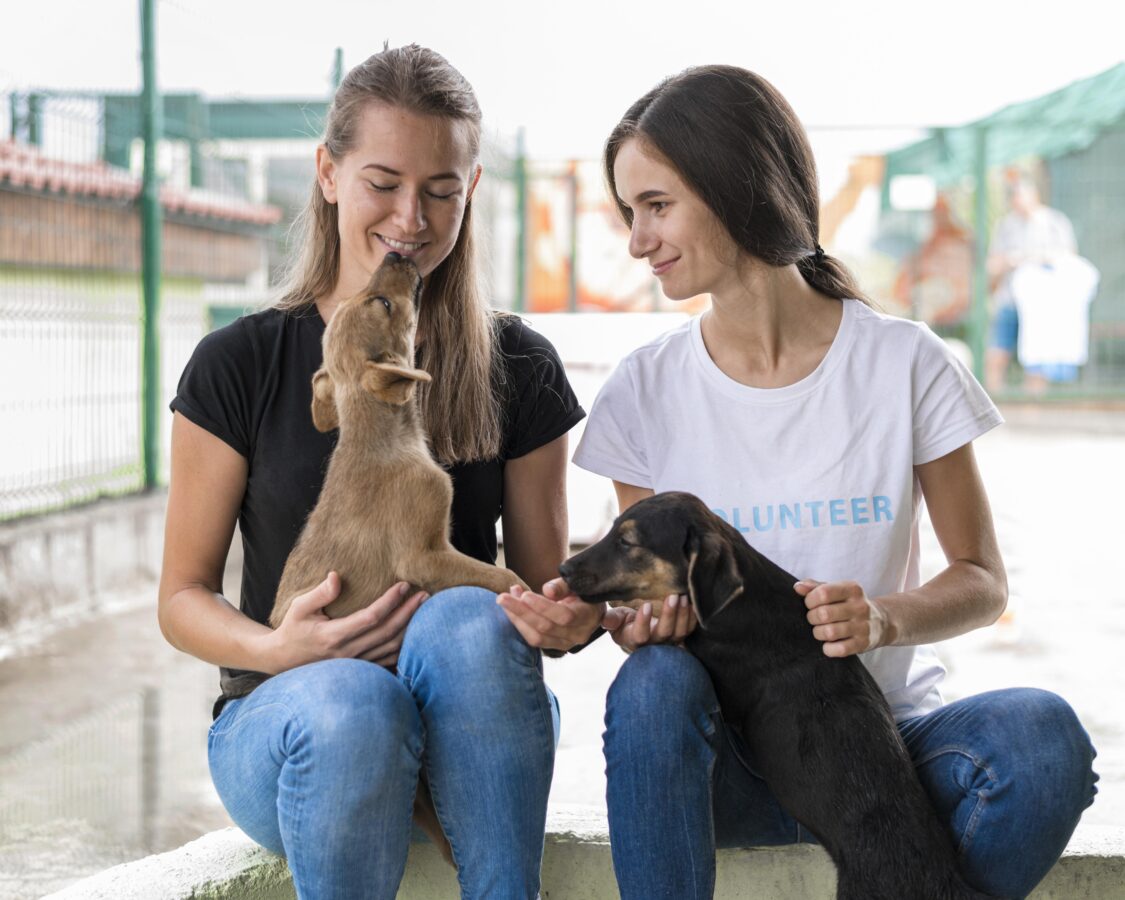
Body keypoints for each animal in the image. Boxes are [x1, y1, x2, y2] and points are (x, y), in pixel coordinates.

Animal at [270, 253, 524, 630]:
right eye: (385, 305)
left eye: (362, 298)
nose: (394, 255)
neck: (383, 436)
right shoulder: (424, 557)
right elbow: (504, 577)